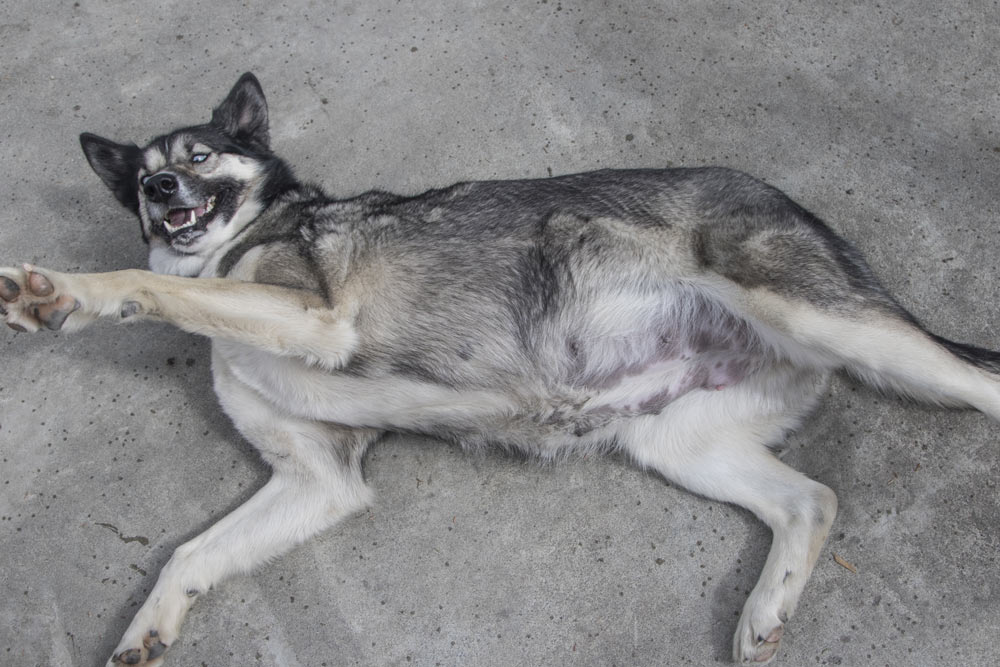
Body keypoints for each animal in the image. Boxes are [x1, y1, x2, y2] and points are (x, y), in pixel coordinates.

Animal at [3, 70, 996, 664]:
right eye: (142, 178)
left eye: (199, 155)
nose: (160, 188)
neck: (236, 240)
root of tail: (794, 204)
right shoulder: (319, 479)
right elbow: (191, 551)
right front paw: (147, 627)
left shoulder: (316, 317)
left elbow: (141, 283)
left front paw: (61, 297)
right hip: (679, 439)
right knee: (812, 499)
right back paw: (763, 611)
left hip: (828, 319)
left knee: (977, 386)